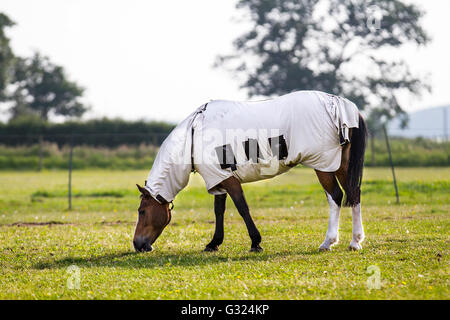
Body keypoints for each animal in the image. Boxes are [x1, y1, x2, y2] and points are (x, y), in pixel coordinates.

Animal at [132, 91, 368, 254]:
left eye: (142, 211)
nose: (138, 244)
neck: (194, 135)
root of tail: (339, 104)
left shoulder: (228, 180)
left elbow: (242, 208)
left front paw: (256, 242)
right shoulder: (217, 181)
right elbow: (219, 211)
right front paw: (214, 243)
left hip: (324, 165)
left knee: (336, 196)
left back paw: (329, 241)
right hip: (340, 165)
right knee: (353, 194)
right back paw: (355, 241)